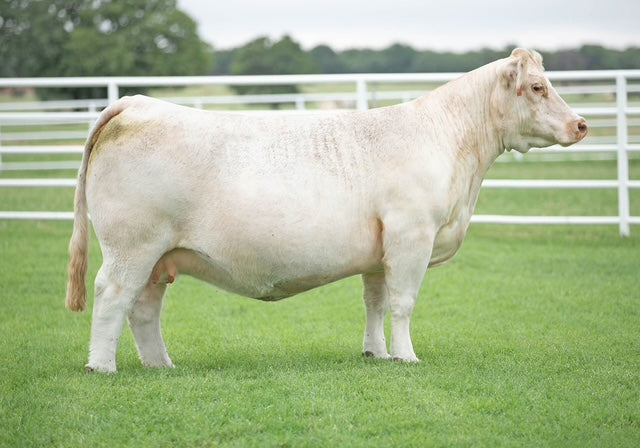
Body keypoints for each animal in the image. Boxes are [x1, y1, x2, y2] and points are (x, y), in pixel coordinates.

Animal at [66, 48, 587, 373]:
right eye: (537, 87)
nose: (581, 124)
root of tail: (136, 103)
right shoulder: (411, 235)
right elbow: (403, 302)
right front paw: (407, 356)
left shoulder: (381, 249)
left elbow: (376, 302)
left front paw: (377, 354)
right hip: (133, 245)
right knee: (113, 295)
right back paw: (101, 366)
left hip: (160, 256)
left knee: (145, 308)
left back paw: (161, 365)